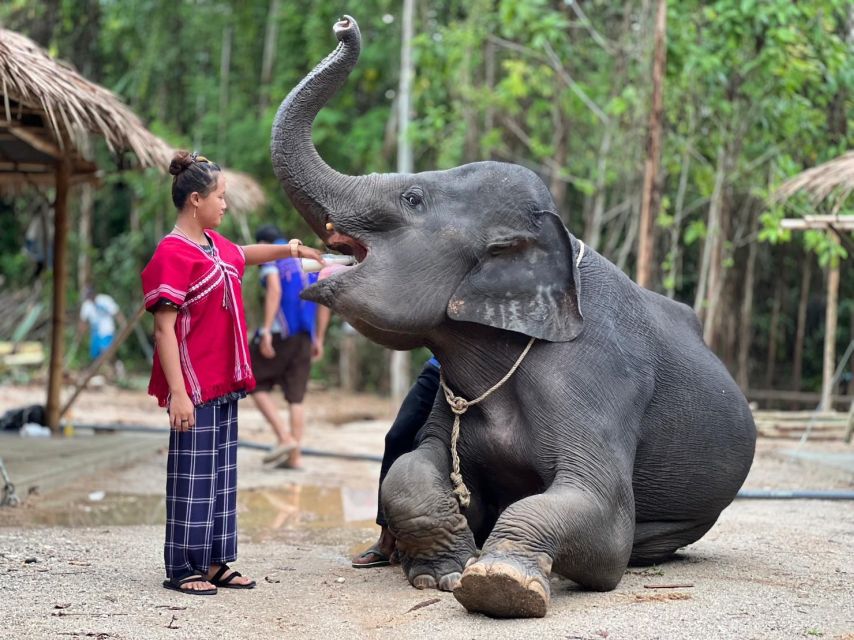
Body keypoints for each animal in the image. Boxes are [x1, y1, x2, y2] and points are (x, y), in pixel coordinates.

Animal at [270, 16, 756, 618]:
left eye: (412, 198)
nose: (344, 24)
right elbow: (412, 466)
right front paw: (441, 574)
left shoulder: (597, 379)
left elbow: (605, 520)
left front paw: (499, 583)